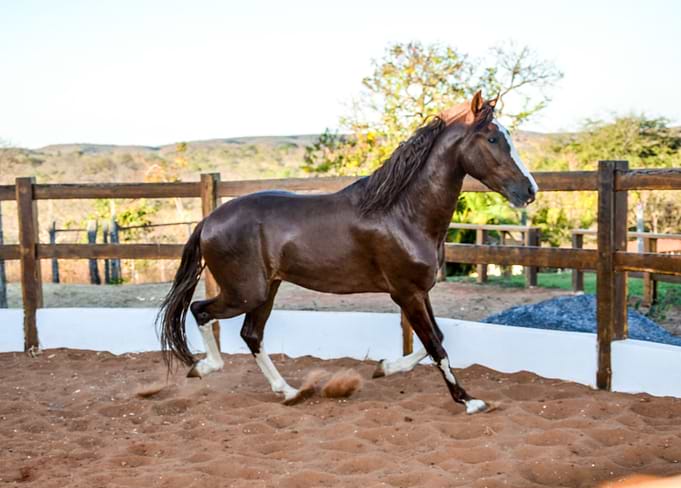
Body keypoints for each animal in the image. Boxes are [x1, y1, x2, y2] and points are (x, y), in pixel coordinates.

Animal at [158, 90, 538, 415]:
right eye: (492, 138)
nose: (529, 190)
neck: (402, 213)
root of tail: (209, 220)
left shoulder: (419, 291)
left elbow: (437, 339)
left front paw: (384, 367)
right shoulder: (407, 293)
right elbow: (436, 346)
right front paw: (469, 401)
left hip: (266, 290)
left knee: (251, 334)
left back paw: (289, 391)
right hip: (246, 292)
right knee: (201, 311)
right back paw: (204, 367)